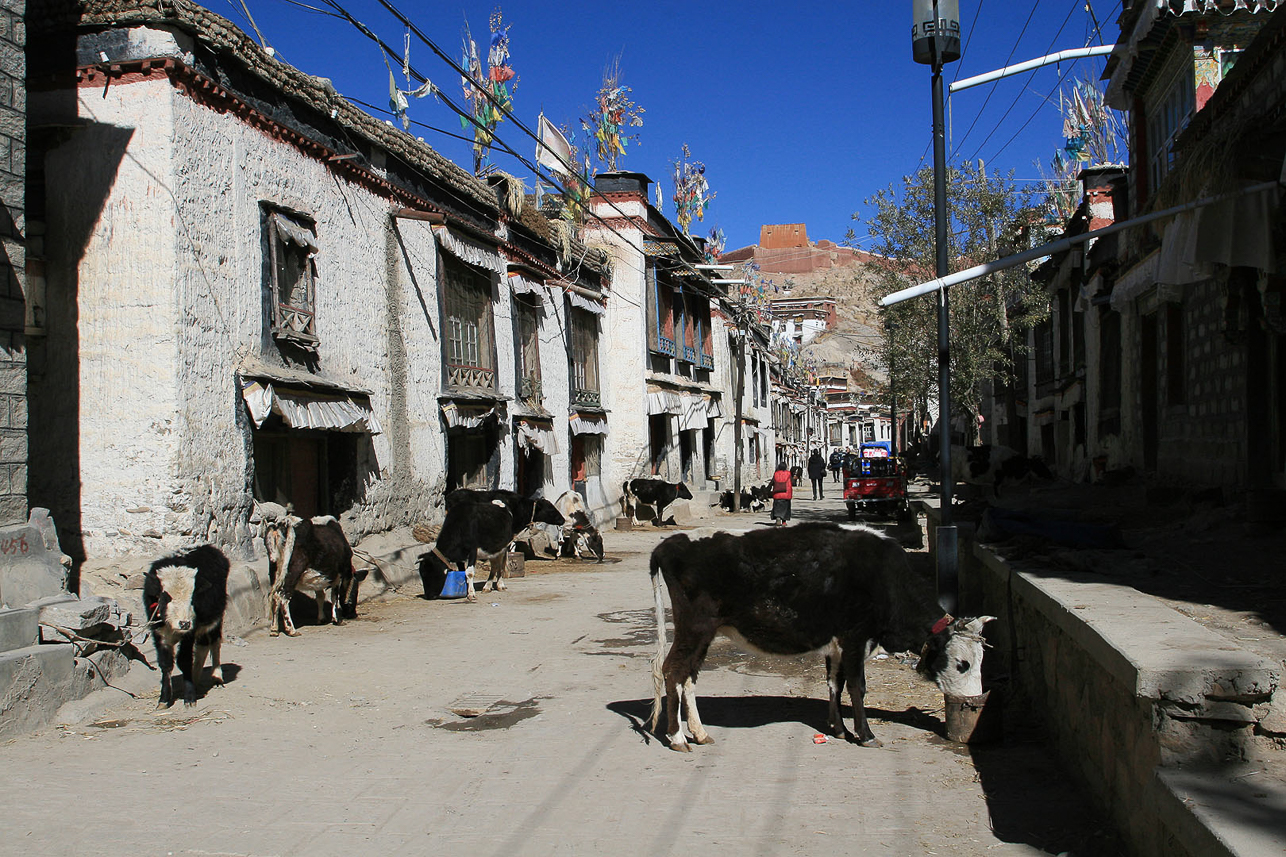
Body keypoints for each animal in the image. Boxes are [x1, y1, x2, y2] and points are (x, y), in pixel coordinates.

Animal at [146, 543, 234, 705]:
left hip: (216, 620)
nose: (184, 623)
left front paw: (189, 697)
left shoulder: (190, 633)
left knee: (215, 643)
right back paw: (196, 679)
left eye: (193, 598)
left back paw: (217, 678)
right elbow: (165, 663)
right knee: (203, 647)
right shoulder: (159, 633)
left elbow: (184, 660)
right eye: (165, 597)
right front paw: (164, 699)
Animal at [653, 519, 992, 746]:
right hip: (695, 628)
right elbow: (857, 686)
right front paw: (866, 734)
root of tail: (671, 543)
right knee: (673, 671)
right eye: (962, 664)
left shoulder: (838, 645)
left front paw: (839, 728)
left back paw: (699, 733)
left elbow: (834, 684)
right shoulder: (856, 638)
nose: (973, 698)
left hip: (703, 634)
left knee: (688, 676)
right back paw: (677, 737)